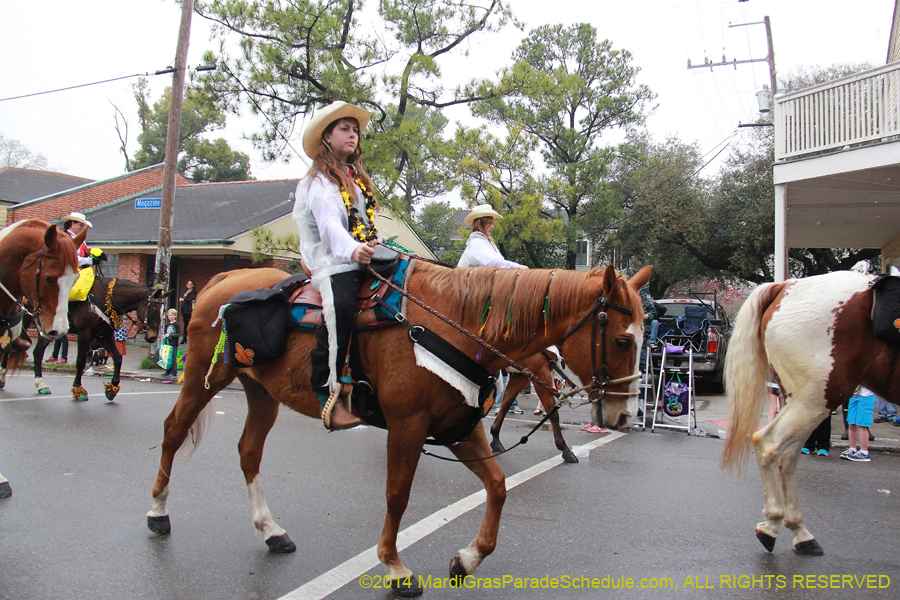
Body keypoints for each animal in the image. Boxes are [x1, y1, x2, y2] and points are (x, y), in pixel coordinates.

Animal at [148, 262, 652, 596]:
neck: (458, 325)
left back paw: (271, 531)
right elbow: (397, 494)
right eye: (621, 340)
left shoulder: (456, 427)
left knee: (249, 451)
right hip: (204, 378)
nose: (626, 417)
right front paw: (393, 565)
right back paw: (158, 513)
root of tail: (223, 280)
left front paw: (468, 558)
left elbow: (497, 484)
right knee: (172, 432)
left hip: (261, 392)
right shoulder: (408, 426)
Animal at [716, 270, 900, 556]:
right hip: (818, 396)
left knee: (787, 456)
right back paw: (775, 525)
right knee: (770, 445)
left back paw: (797, 531)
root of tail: (785, 286)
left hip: (803, 398)